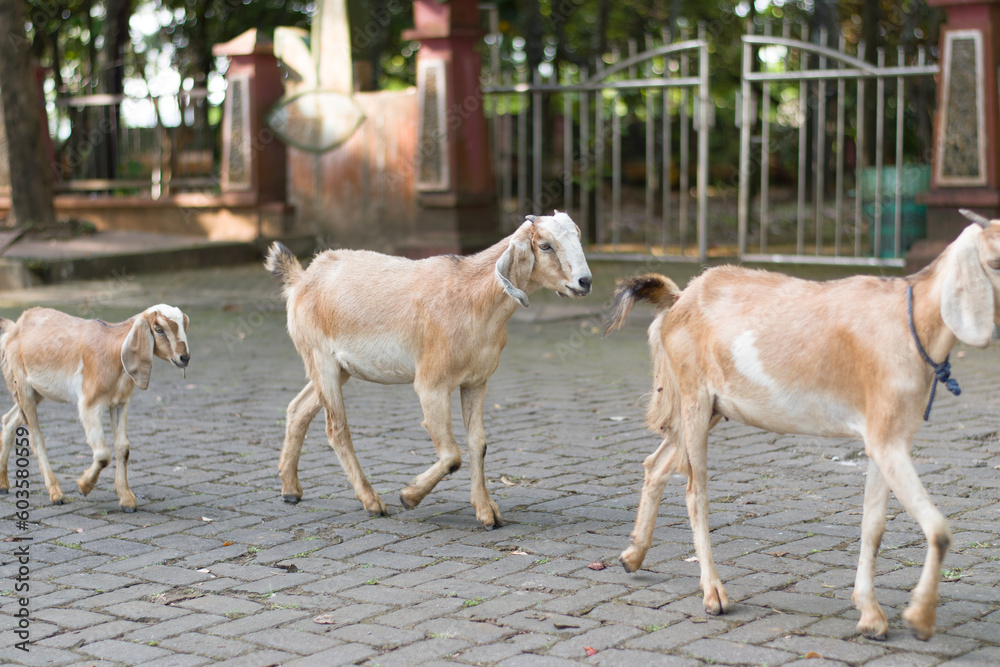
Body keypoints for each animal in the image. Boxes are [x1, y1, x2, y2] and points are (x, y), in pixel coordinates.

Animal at [0, 305, 190, 511]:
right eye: (159, 329)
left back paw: (3, 484)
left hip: (37, 391)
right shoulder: (89, 405)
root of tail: (13, 328)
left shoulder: (120, 403)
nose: (184, 358)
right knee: (35, 438)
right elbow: (103, 454)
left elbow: (123, 447)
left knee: (9, 420)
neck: (113, 351)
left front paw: (126, 499)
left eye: (184, 324)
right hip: (23, 386)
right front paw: (84, 486)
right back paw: (56, 494)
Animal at [265, 212, 592, 529]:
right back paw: (371, 502)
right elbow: (451, 455)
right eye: (545, 245)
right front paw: (408, 496)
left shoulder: (476, 382)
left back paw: (291, 490)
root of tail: (301, 279)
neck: (473, 298)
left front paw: (487, 513)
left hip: (338, 368)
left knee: (298, 409)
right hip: (321, 359)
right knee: (336, 428)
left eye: (577, 236)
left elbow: (478, 444)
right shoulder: (431, 385)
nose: (585, 281)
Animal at [605, 209, 1000, 640]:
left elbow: (873, 524)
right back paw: (713, 595)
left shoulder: (885, 439)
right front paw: (919, 618)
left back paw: (632, 556)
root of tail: (680, 300)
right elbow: (939, 529)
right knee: (695, 490)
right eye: (995, 261)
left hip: (713, 408)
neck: (908, 323)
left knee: (657, 464)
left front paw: (871, 615)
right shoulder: (886, 440)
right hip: (694, 400)